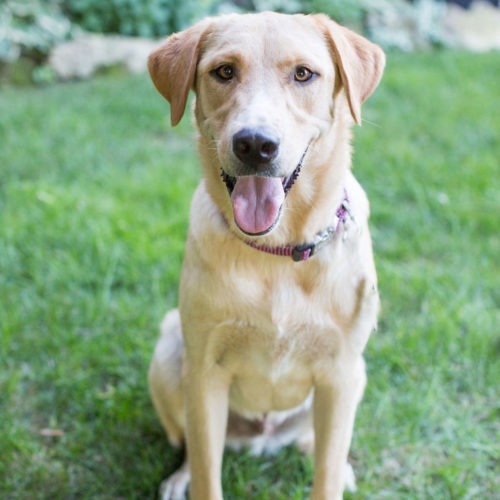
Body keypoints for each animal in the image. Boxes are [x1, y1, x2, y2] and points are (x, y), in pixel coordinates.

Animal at [146, 11, 384, 500]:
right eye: (223, 71)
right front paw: (194, 478)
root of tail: (262, 439)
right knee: (190, 443)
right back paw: (179, 476)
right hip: (168, 354)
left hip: (356, 377)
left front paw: (334, 472)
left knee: (318, 442)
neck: (277, 252)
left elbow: (326, 475)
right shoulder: (205, 374)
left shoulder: (340, 372)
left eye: (304, 74)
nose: (255, 144)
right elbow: (207, 472)